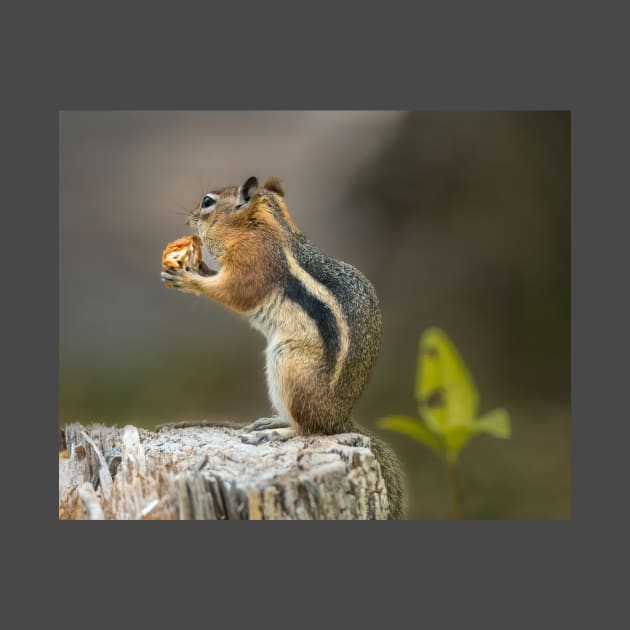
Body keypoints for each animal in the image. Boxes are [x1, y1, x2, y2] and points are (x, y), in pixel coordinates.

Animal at [162, 177, 404, 520]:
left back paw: (276, 433)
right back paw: (274, 421)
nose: (188, 220)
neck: (265, 226)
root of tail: (339, 419)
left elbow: (234, 293)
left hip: (289, 364)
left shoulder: (253, 263)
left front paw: (189, 279)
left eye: (207, 202)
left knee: (309, 430)